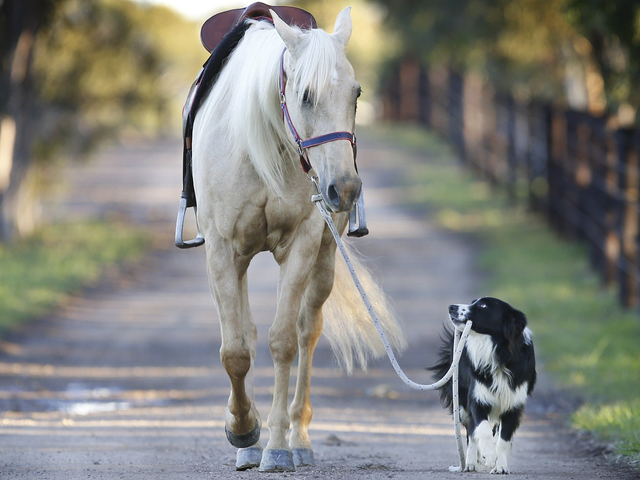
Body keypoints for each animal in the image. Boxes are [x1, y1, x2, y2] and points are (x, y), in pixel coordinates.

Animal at [192, 7, 408, 472]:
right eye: (305, 95)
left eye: (357, 94)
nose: (345, 189)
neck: (262, 148)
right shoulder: (222, 252)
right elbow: (235, 350)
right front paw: (243, 430)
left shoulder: (303, 245)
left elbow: (284, 342)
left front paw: (276, 445)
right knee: (246, 333)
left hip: (325, 256)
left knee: (309, 330)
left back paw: (300, 438)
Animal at [430, 298, 536, 474]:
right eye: (473, 302)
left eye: (483, 306)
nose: (452, 307)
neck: (499, 354)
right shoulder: (477, 399)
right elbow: (483, 429)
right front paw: (489, 456)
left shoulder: (513, 405)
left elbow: (503, 440)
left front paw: (501, 466)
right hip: (462, 401)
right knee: (471, 431)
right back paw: (470, 463)